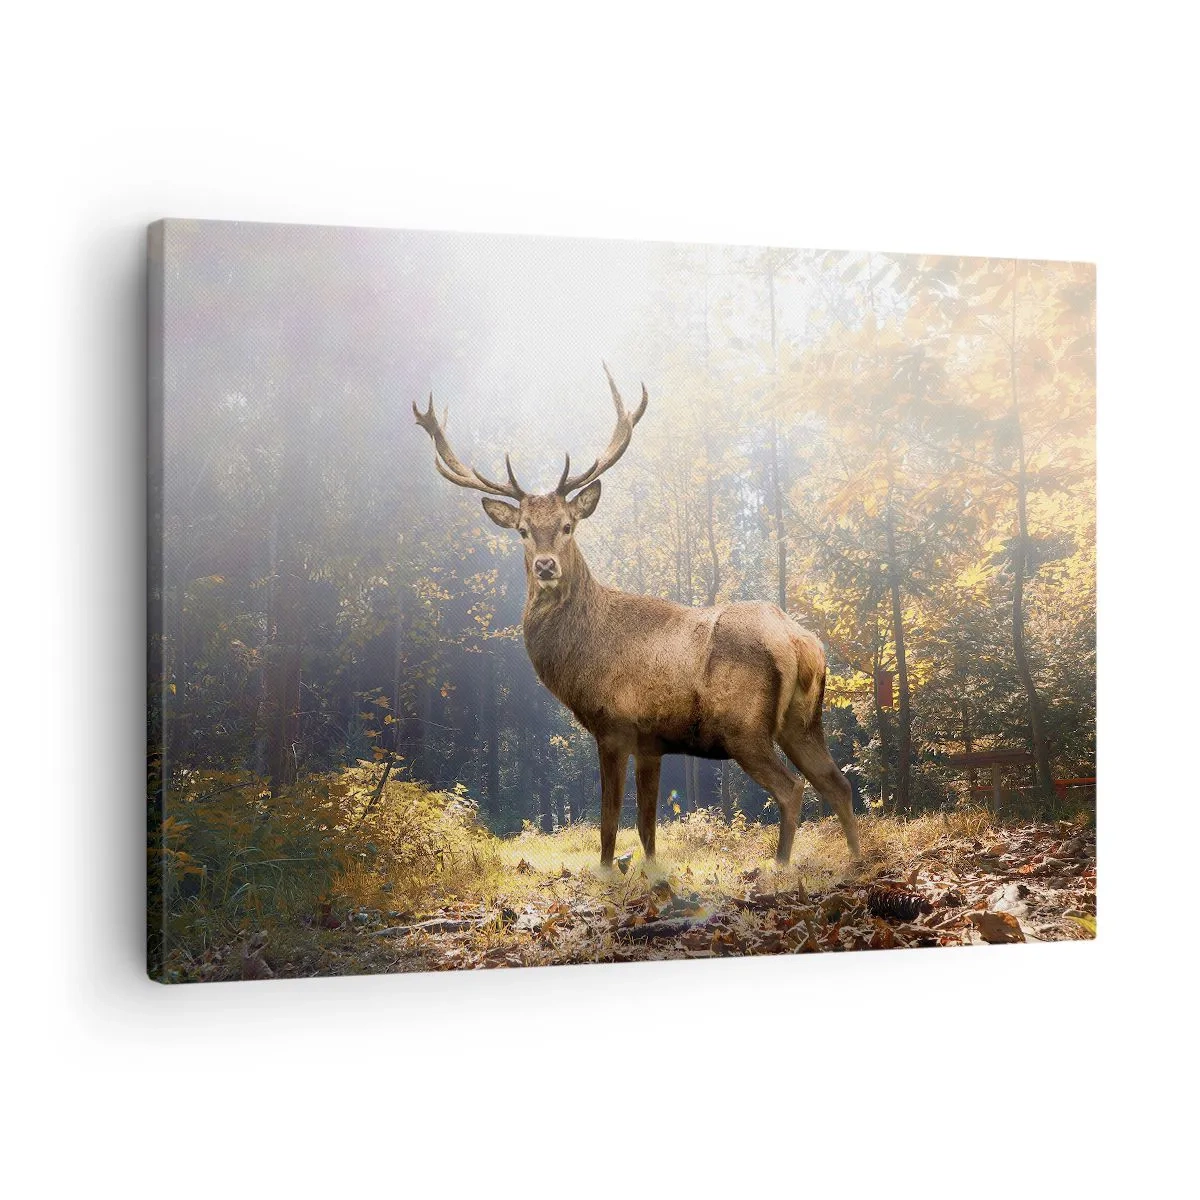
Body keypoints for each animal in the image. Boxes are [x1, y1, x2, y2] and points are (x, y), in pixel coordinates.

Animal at [413, 367, 862, 871]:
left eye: (568, 525)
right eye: (523, 531)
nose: (546, 566)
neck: (580, 659)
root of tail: (800, 641)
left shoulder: (614, 725)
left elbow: (609, 820)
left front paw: (608, 872)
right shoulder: (653, 740)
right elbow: (647, 824)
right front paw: (649, 871)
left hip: (744, 726)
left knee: (792, 788)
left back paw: (780, 866)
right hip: (802, 721)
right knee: (838, 784)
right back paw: (856, 859)